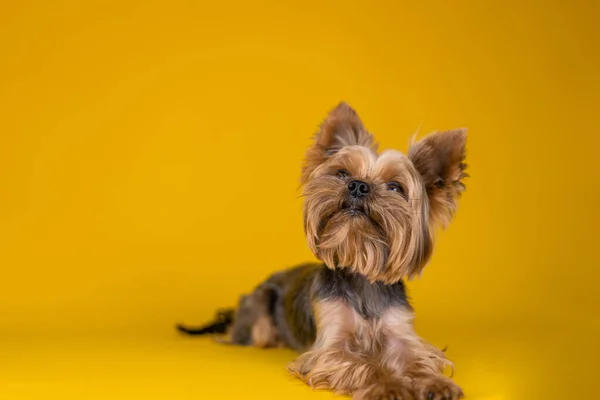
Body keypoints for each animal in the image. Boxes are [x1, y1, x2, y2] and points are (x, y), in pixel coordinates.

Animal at [178, 104, 468, 400]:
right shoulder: (330, 346)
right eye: (342, 173)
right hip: (260, 313)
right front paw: (389, 385)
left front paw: (436, 383)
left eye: (395, 187)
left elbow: (417, 358)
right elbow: (363, 364)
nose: (358, 185)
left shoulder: (400, 332)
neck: (361, 271)